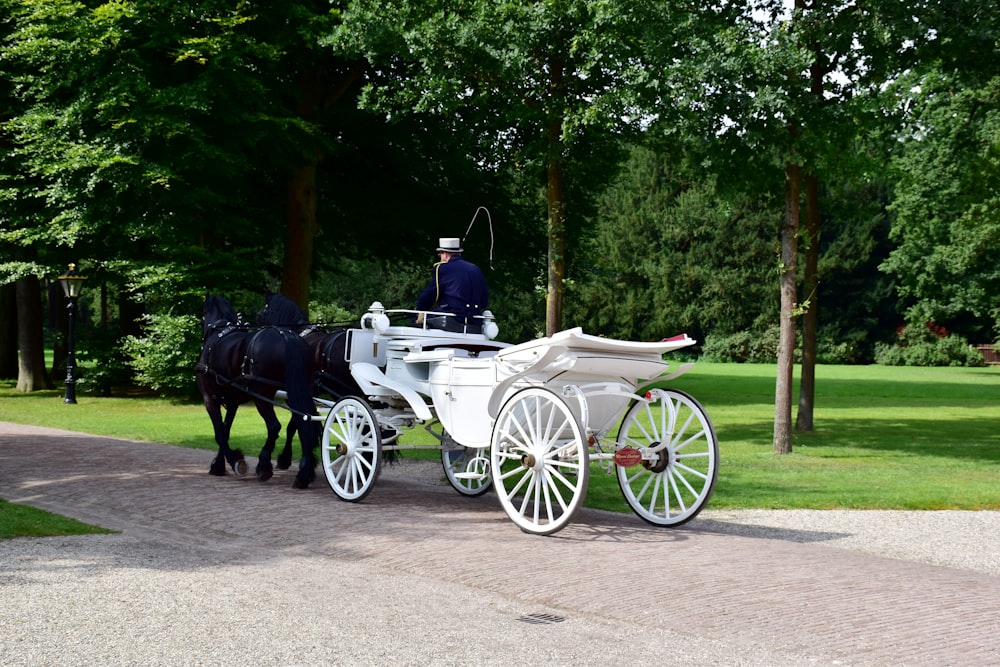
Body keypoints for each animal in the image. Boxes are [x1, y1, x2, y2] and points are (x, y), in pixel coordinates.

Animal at [195, 294, 320, 488]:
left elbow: (220, 433)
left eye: (203, 312)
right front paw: (219, 464)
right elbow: (225, 430)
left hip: (263, 396)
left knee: (275, 426)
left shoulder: (210, 400)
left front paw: (234, 461)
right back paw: (304, 473)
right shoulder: (232, 402)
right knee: (303, 422)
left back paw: (264, 465)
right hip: (299, 391)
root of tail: (286, 336)